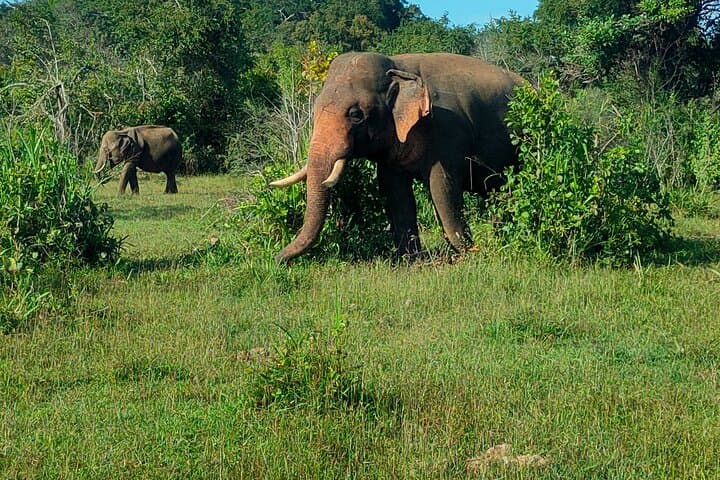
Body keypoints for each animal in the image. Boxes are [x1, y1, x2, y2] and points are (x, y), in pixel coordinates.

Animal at [270, 52, 525, 263]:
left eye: (356, 114)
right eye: (314, 109)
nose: (277, 259)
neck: (398, 67)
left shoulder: (447, 131)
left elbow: (442, 188)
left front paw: (468, 253)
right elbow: (396, 192)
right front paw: (410, 259)